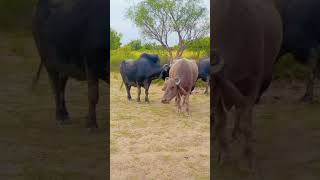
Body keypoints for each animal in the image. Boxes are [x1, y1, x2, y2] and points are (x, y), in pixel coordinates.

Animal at [32, 0, 108, 129]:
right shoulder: (91, 63)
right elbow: (93, 95)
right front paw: (91, 124)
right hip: (49, 63)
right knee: (55, 87)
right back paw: (59, 115)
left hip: (64, 66)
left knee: (61, 86)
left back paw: (65, 114)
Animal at [212, 0, 282, 169]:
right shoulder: (221, 90)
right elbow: (221, 122)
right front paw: (224, 155)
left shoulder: (253, 84)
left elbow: (246, 123)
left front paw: (248, 159)